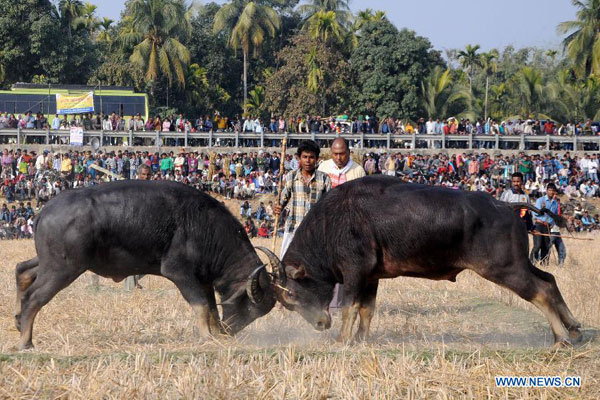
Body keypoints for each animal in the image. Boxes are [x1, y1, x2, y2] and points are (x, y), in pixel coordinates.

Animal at [13, 180, 276, 348]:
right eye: (250, 307)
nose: (231, 330)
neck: (205, 226)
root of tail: (44, 211)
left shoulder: (203, 280)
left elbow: (211, 308)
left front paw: (216, 333)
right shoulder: (180, 274)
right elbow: (200, 305)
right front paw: (207, 337)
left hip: (49, 262)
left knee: (22, 271)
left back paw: (17, 319)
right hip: (63, 269)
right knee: (34, 298)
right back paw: (25, 341)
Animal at [255, 177, 584, 346]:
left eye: (292, 295)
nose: (321, 324)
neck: (333, 221)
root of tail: (506, 205)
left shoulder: (354, 274)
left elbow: (350, 307)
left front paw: (341, 341)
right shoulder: (370, 278)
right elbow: (367, 310)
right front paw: (360, 340)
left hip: (505, 269)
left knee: (539, 291)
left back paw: (561, 337)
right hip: (519, 264)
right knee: (549, 281)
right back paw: (574, 328)